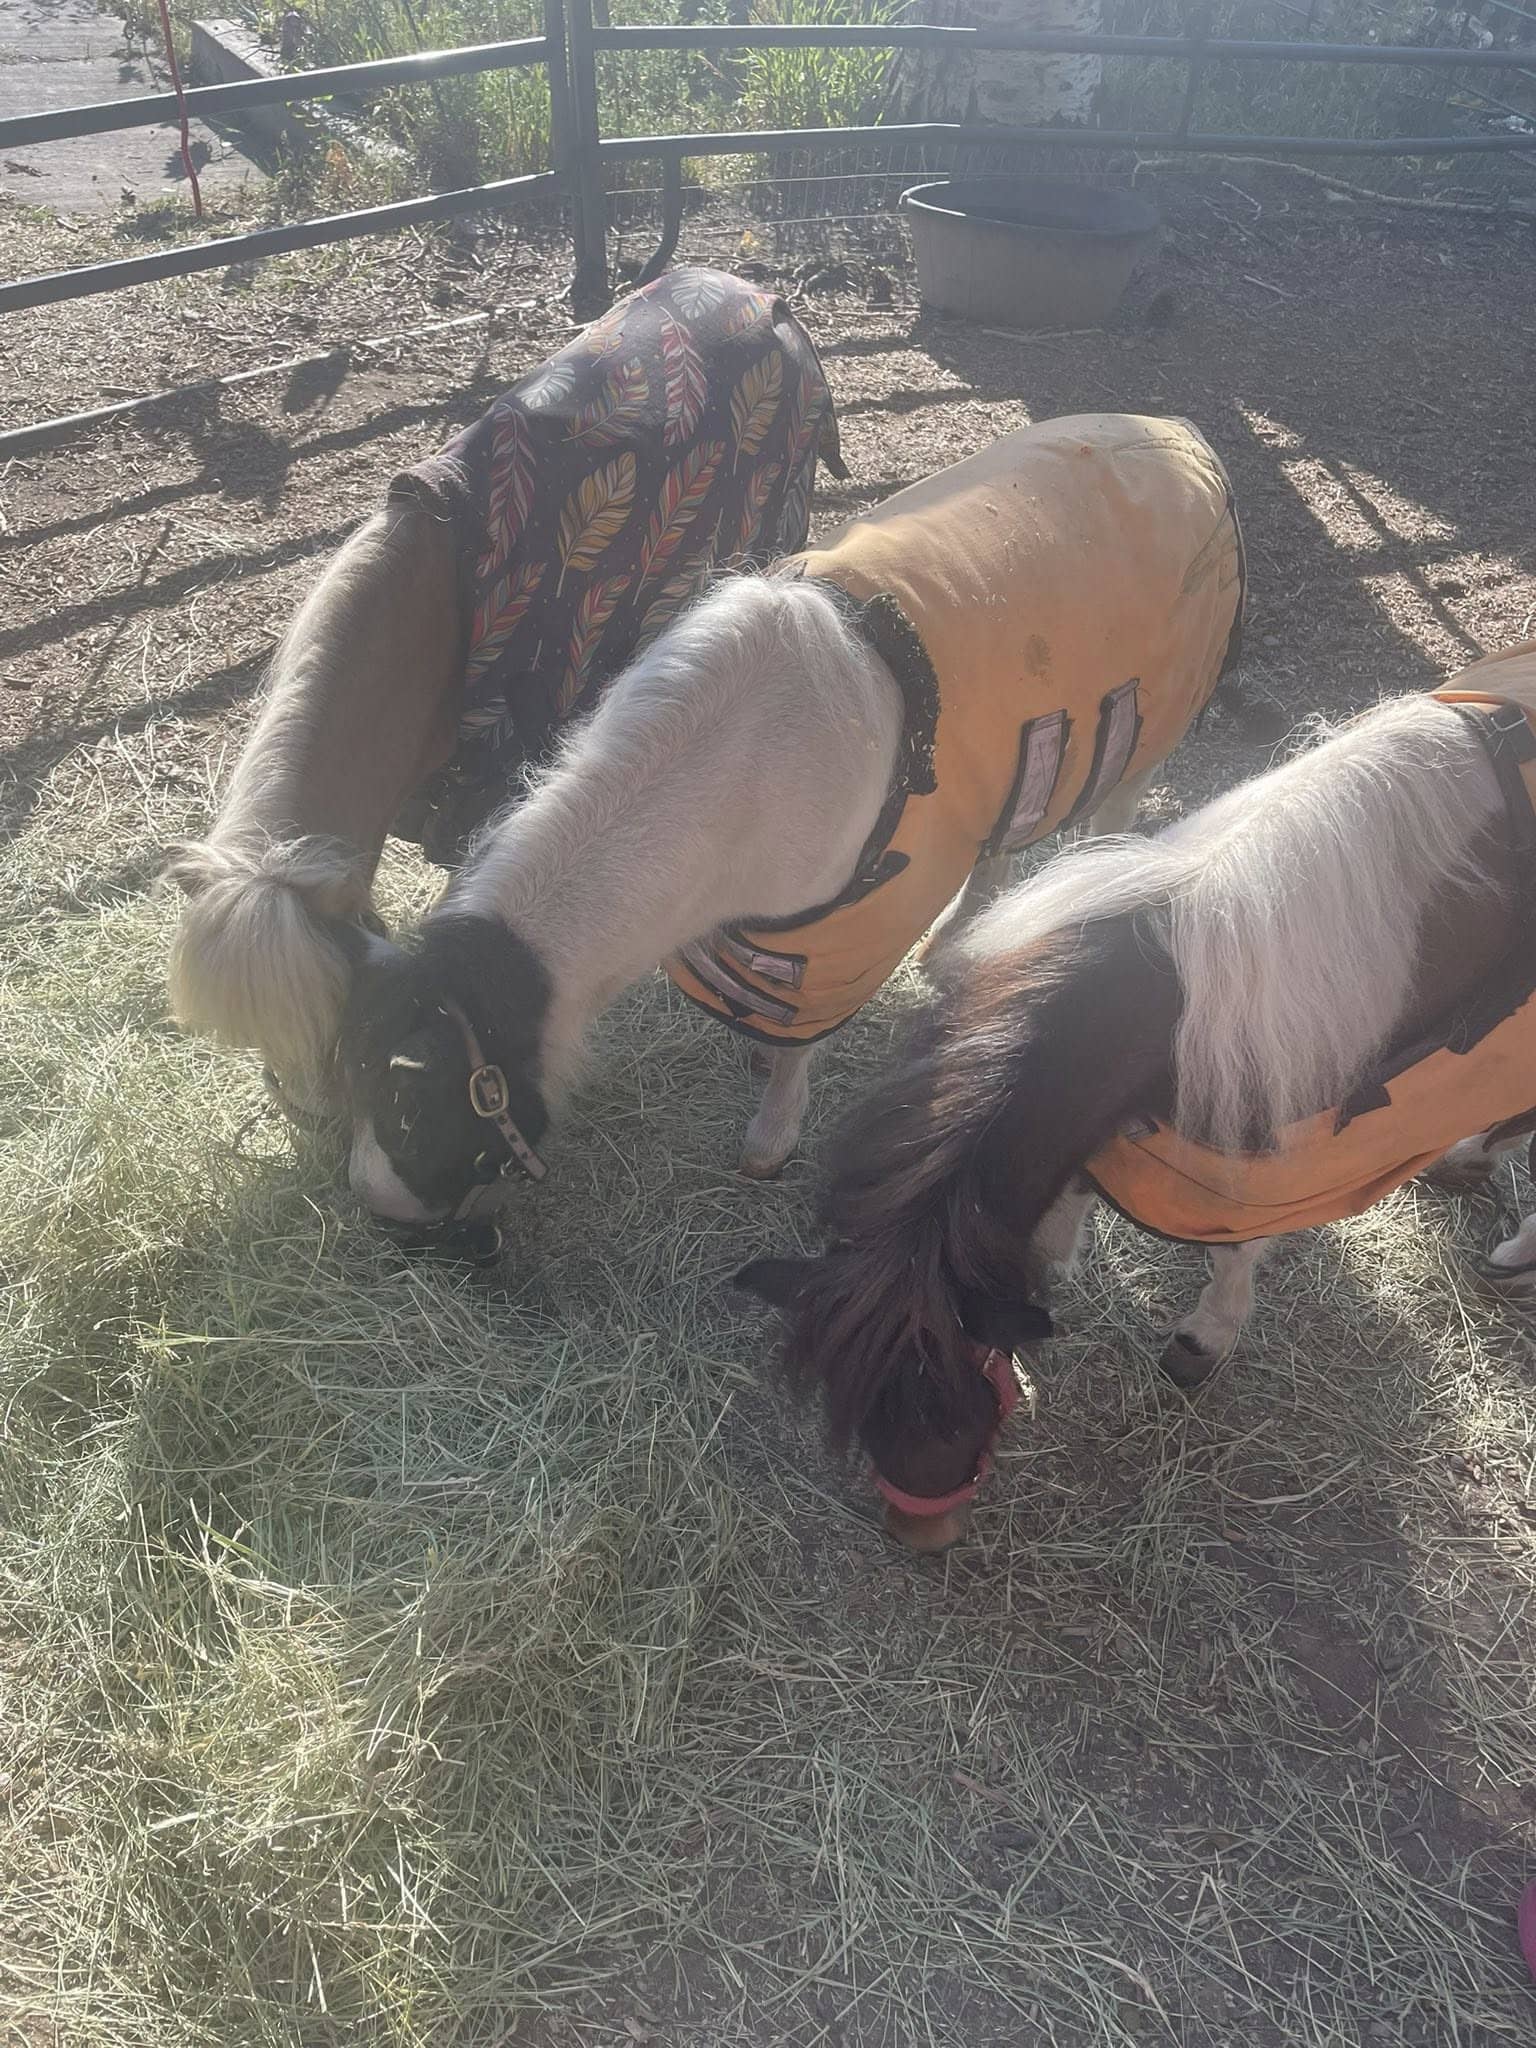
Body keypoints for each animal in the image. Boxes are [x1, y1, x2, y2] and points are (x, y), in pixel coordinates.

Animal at [335, 414, 1246, 1233]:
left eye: (416, 1109)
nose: (383, 1213)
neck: (729, 755)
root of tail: (1186, 440)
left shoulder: (848, 926)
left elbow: (802, 1044)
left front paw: (769, 1143)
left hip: (1141, 738)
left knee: (1107, 827)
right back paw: (957, 946)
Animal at [734, 646, 1536, 1552]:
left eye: (950, 1403)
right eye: (864, 1407)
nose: (921, 1539)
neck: (1158, 993)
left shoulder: (1262, 1159)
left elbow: (1235, 1255)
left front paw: (1203, 1342)